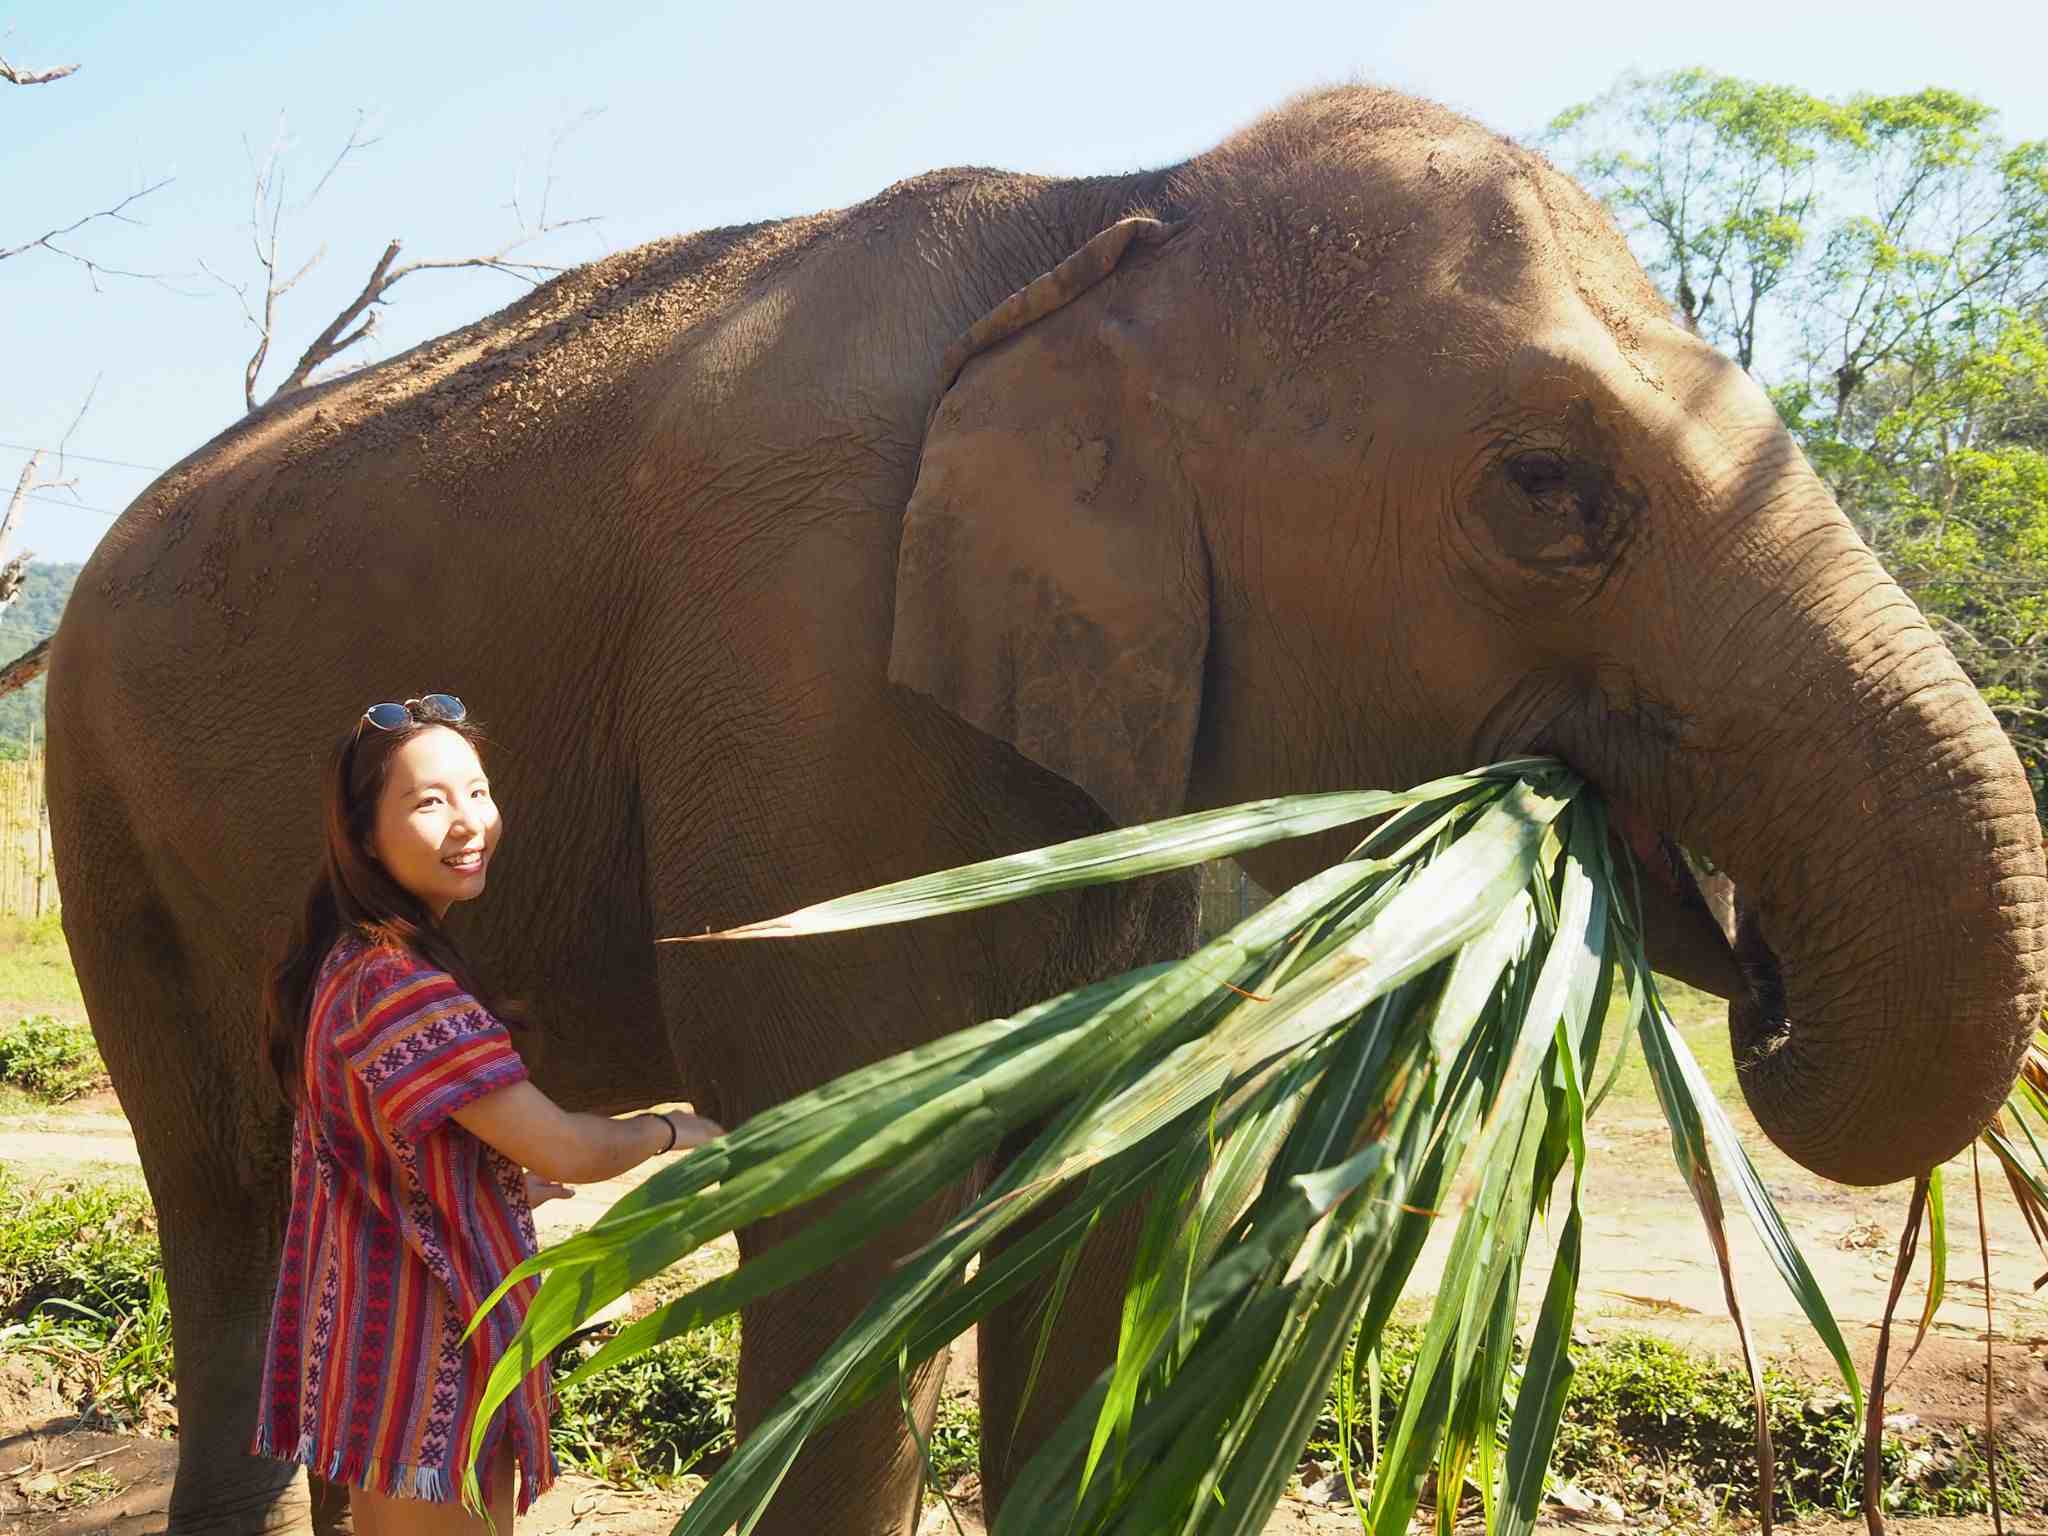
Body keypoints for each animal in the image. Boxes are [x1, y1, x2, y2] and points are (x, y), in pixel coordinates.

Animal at [46, 85, 2045, 1535]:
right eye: (1549, 487)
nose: (1767, 988)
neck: (1112, 211)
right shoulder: (798, 670)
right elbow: (865, 1202)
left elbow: (1102, 1198)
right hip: (97, 796)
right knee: (222, 1187)